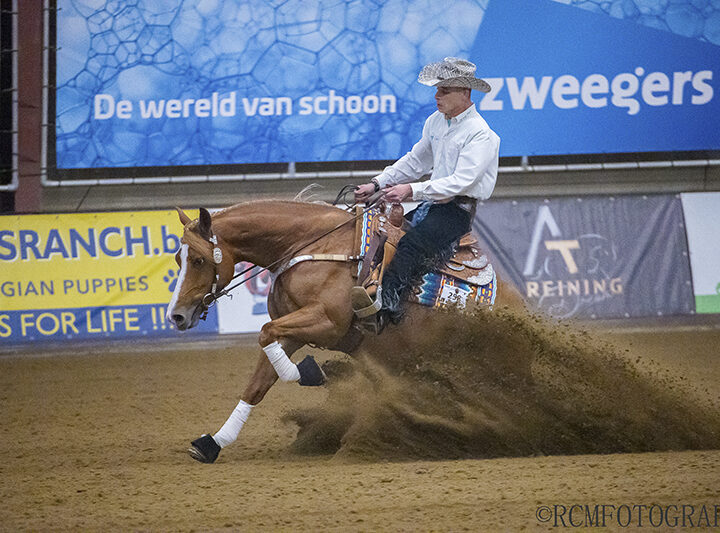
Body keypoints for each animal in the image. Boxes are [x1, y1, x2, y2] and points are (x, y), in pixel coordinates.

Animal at [165, 200, 524, 462]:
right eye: (177, 259)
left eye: (198, 260)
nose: (176, 316)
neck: (311, 247)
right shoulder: (292, 332)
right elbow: (257, 383)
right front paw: (212, 443)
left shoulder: (326, 323)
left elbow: (265, 333)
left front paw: (315, 372)